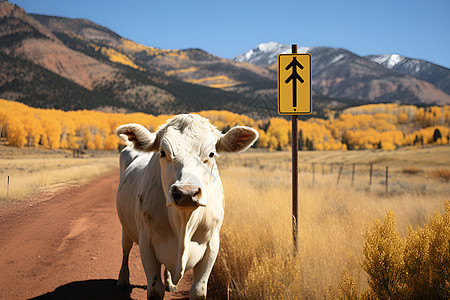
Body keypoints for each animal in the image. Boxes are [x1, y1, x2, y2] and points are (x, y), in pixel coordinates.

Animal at [114, 113, 258, 298]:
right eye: (162, 152)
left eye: (212, 154)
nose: (186, 193)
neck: (183, 223)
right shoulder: (146, 243)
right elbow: (155, 289)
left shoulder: (212, 245)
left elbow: (198, 289)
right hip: (126, 228)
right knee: (125, 250)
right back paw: (122, 281)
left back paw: (170, 283)